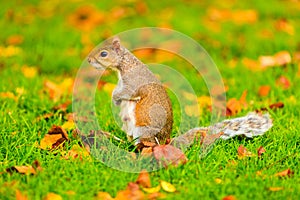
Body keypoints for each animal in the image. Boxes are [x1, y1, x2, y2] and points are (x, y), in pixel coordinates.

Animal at [86, 37, 272, 149]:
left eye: (104, 53)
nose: (88, 60)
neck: (123, 66)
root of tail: (164, 142)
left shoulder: (134, 83)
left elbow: (127, 92)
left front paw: (115, 98)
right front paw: (116, 100)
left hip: (144, 131)